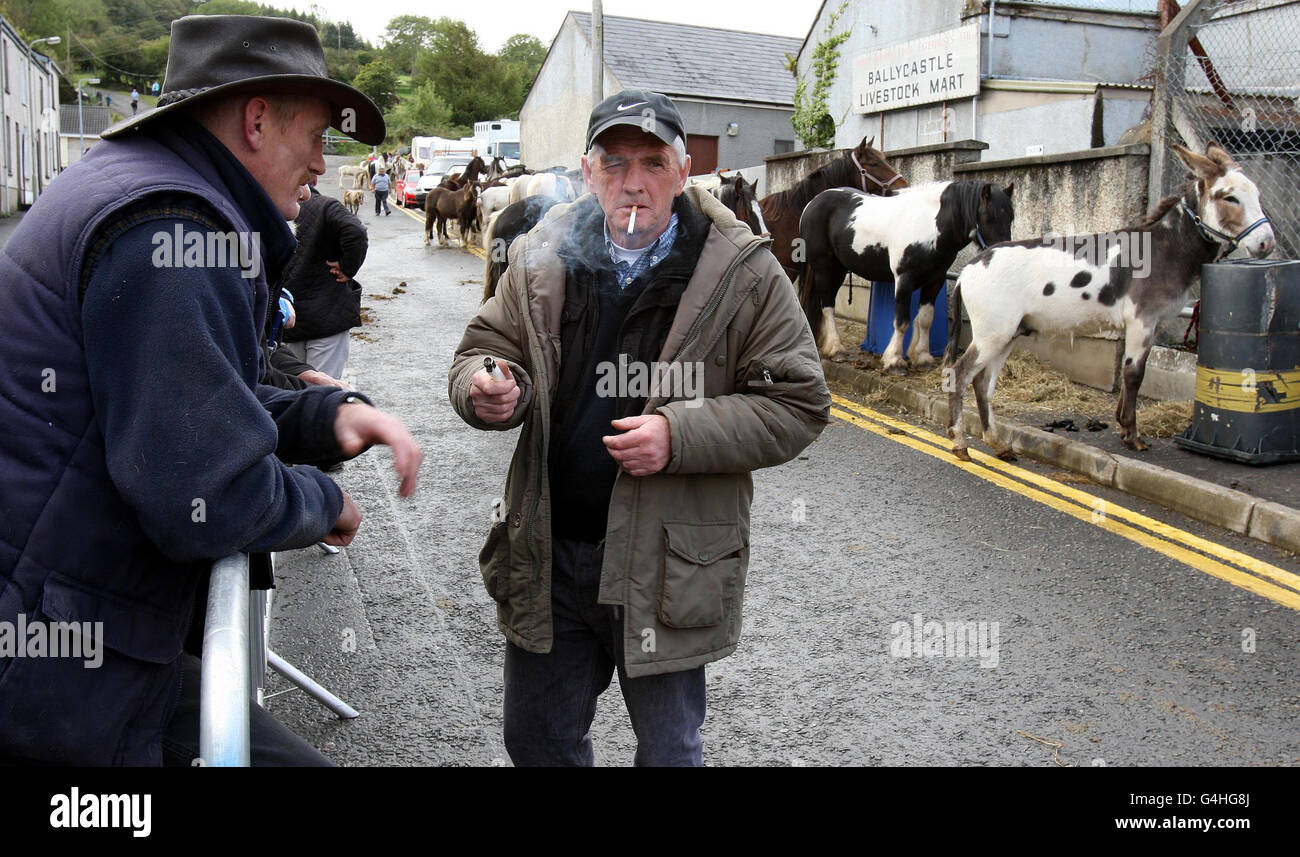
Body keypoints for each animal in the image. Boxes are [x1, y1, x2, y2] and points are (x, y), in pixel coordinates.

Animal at [790, 180, 1013, 369]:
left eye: (1011, 217)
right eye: (989, 217)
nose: (1001, 251)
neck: (929, 225)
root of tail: (813, 202)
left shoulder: (935, 280)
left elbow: (925, 319)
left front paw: (922, 357)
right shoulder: (905, 280)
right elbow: (902, 321)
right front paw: (894, 360)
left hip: (839, 269)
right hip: (823, 267)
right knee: (827, 305)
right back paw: (837, 349)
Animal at [946, 144, 1268, 460]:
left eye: (1257, 194)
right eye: (1229, 197)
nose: (1267, 243)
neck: (1165, 247)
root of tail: (969, 268)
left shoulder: (1145, 325)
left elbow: (1129, 371)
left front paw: (1123, 426)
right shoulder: (1142, 320)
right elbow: (1134, 374)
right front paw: (1132, 436)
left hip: (1007, 334)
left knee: (982, 383)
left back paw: (997, 443)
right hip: (993, 333)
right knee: (959, 374)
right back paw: (960, 443)